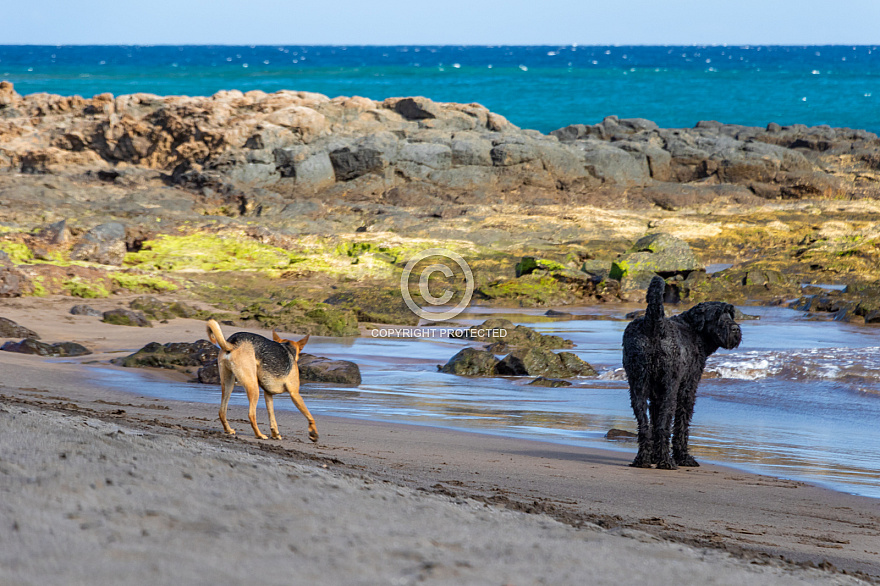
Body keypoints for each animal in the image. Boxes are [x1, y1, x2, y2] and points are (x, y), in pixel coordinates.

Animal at [620, 274, 744, 470]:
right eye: (717, 315)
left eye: (730, 314)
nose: (735, 329)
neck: (695, 330)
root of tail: (653, 323)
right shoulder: (687, 388)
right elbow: (681, 425)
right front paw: (683, 457)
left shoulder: (655, 394)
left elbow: (654, 421)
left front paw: (654, 456)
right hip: (670, 390)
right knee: (664, 426)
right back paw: (666, 461)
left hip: (638, 386)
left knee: (644, 425)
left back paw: (643, 459)